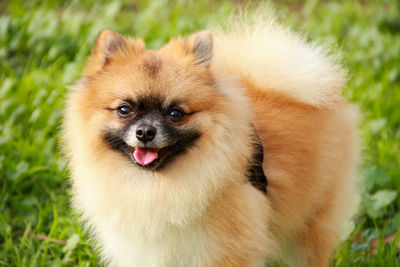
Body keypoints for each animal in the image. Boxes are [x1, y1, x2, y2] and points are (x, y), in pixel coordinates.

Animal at [63, 12, 360, 267]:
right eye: (125, 110)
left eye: (176, 113)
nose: (145, 132)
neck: (153, 187)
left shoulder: (228, 249)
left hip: (314, 219)